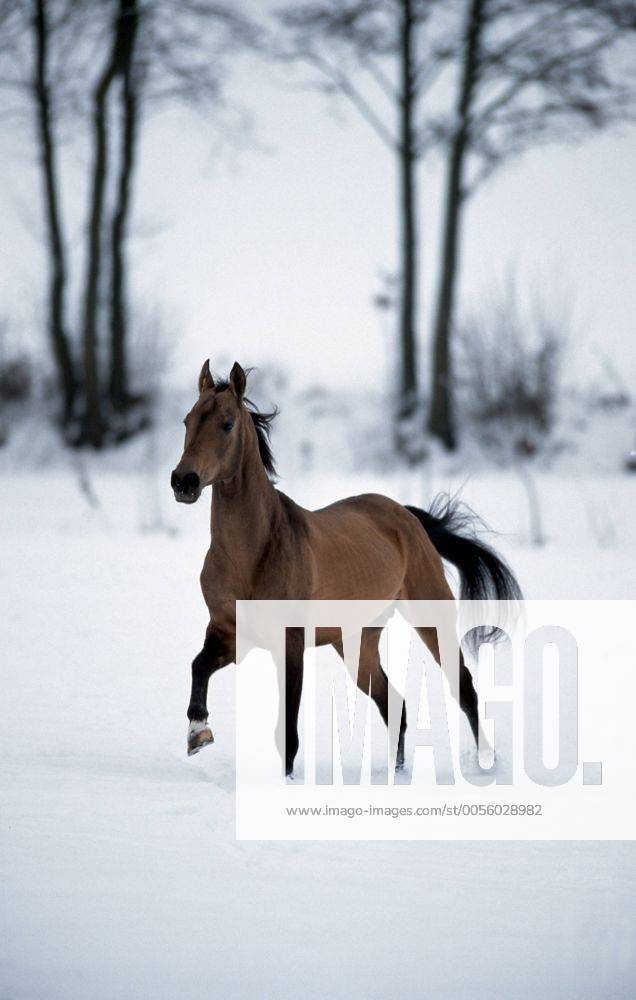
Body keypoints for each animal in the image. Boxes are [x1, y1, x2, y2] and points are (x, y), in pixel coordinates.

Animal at [171, 361, 522, 774]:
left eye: (226, 424)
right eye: (187, 419)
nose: (183, 481)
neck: (250, 557)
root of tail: (405, 515)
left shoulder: (290, 643)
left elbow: (288, 730)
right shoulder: (229, 632)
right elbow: (198, 666)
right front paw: (198, 734)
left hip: (430, 615)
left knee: (464, 689)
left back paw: (486, 764)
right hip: (357, 642)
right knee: (394, 702)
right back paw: (396, 773)